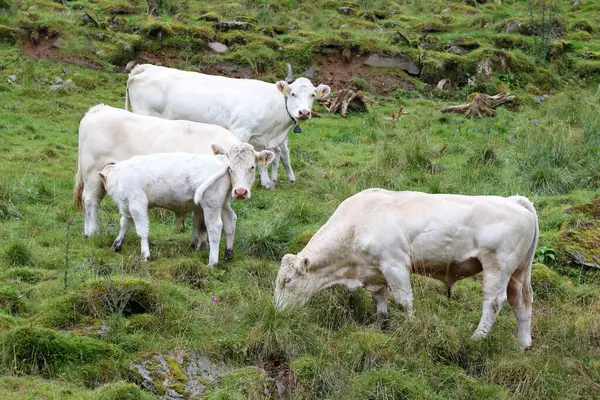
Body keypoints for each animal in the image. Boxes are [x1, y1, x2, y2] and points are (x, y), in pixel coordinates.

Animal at [72, 103, 272, 241]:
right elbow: (201, 221)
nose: (240, 192)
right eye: (230, 167)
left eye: (252, 167)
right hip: (92, 172)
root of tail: (98, 109)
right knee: (90, 200)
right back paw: (93, 232)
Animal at [100, 145, 272, 264]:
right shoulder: (127, 207)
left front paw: (145, 255)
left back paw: (213, 262)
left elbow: (142, 231)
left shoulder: (137, 205)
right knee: (230, 221)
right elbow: (124, 224)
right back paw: (228, 253)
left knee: (215, 228)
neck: (120, 175)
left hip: (211, 205)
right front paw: (116, 245)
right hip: (223, 204)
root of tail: (222, 161)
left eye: (252, 166)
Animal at [123, 63, 330, 189]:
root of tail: (145, 68)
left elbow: (264, 159)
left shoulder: (263, 139)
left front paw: (266, 181)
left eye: (312, 95)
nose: (304, 112)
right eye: (293, 94)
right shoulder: (241, 130)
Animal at [274, 188, 536, 350]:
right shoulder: (375, 271)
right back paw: (523, 344)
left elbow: (403, 300)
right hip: (518, 273)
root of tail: (513, 201)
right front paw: (381, 326)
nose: (276, 312)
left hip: (497, 266)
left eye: (287, 281)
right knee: (522, 303)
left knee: (493, 301)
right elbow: (380, 301)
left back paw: (477, 338)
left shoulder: (395, 264)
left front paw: (410, 327)